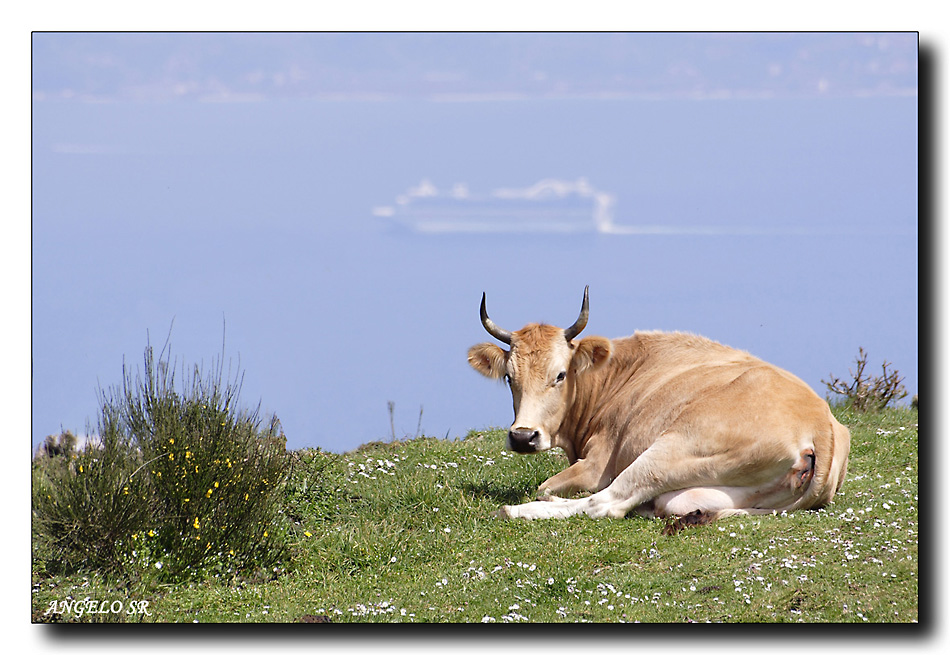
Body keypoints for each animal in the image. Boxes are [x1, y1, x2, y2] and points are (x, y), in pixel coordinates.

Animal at [466, 286, 851, 533]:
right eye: (508, 377)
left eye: (560, 375)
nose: (523, 437)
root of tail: (822, 425)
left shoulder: (597, 463)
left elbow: (548, 487)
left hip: (670, 450)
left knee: (605, 504)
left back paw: (517, 511)